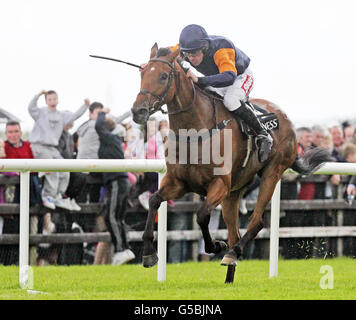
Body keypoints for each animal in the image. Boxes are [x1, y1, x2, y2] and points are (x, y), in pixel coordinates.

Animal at [131, 43, 334, 282]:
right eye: (142, 73)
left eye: (163, 76)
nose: (138, 111)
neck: (195, 131)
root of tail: (286, 120)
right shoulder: (178, 182)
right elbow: (154, 200)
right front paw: (148, 253)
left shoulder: (219, 184)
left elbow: (201, 215)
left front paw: (216, 246)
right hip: (235, 192)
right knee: (234, 232)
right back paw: (229, 274)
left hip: (271, 173)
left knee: (256, 221)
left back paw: (231, 252)